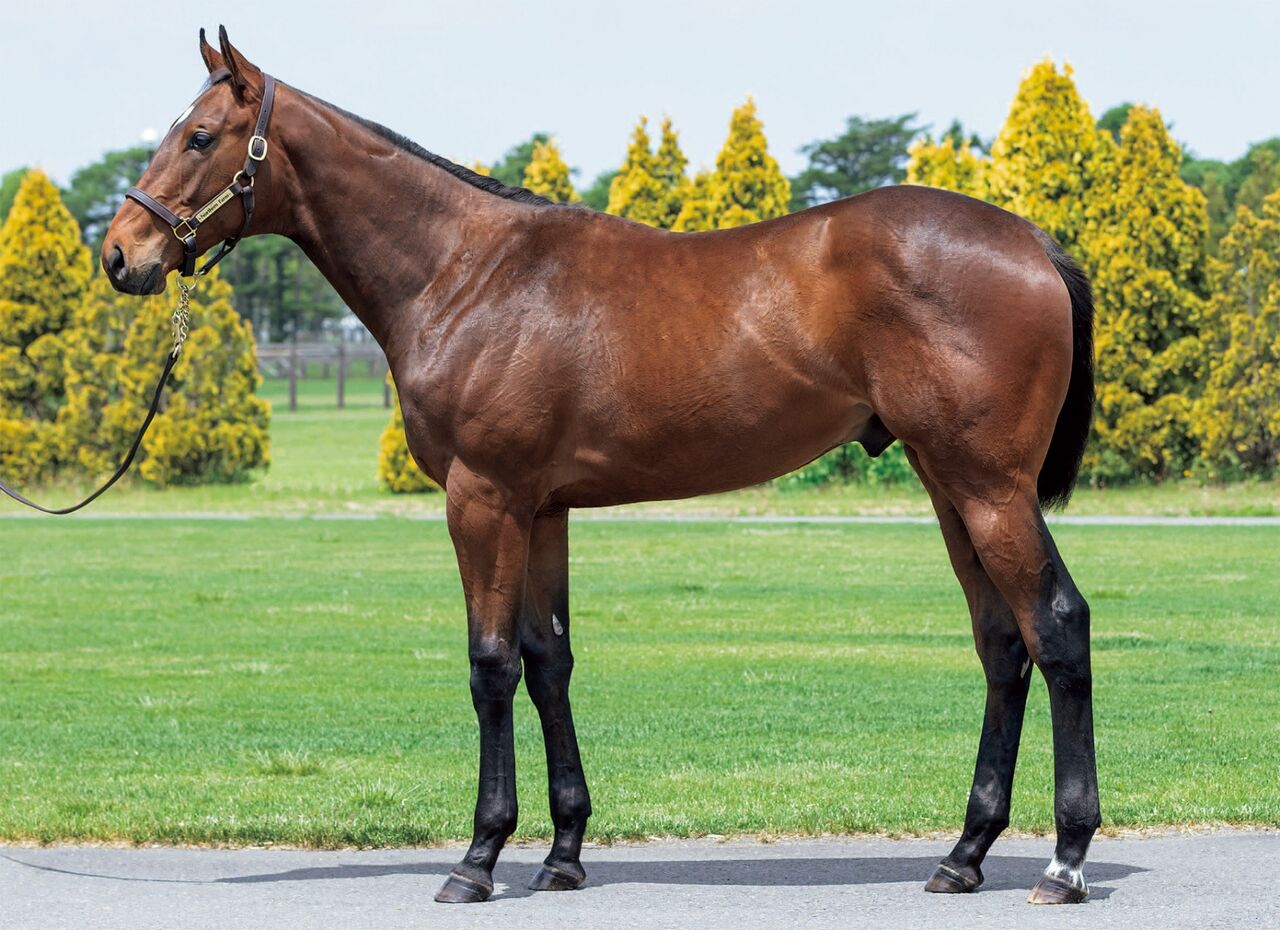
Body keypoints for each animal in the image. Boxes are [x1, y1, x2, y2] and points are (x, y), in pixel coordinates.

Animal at [102, 27, 1100, 907]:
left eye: (199, 136)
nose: (119, 254)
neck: (466, 274)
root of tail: (1033, 242)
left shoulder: (484, 499)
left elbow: (491, 665)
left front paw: (478, 858)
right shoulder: (542, 509)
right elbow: (550, 661)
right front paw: (563, 854)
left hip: (988, 487)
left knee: (1056, 626)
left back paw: (1064, 861)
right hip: (947, 485)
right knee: (1002, 642)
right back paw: (964, 855)